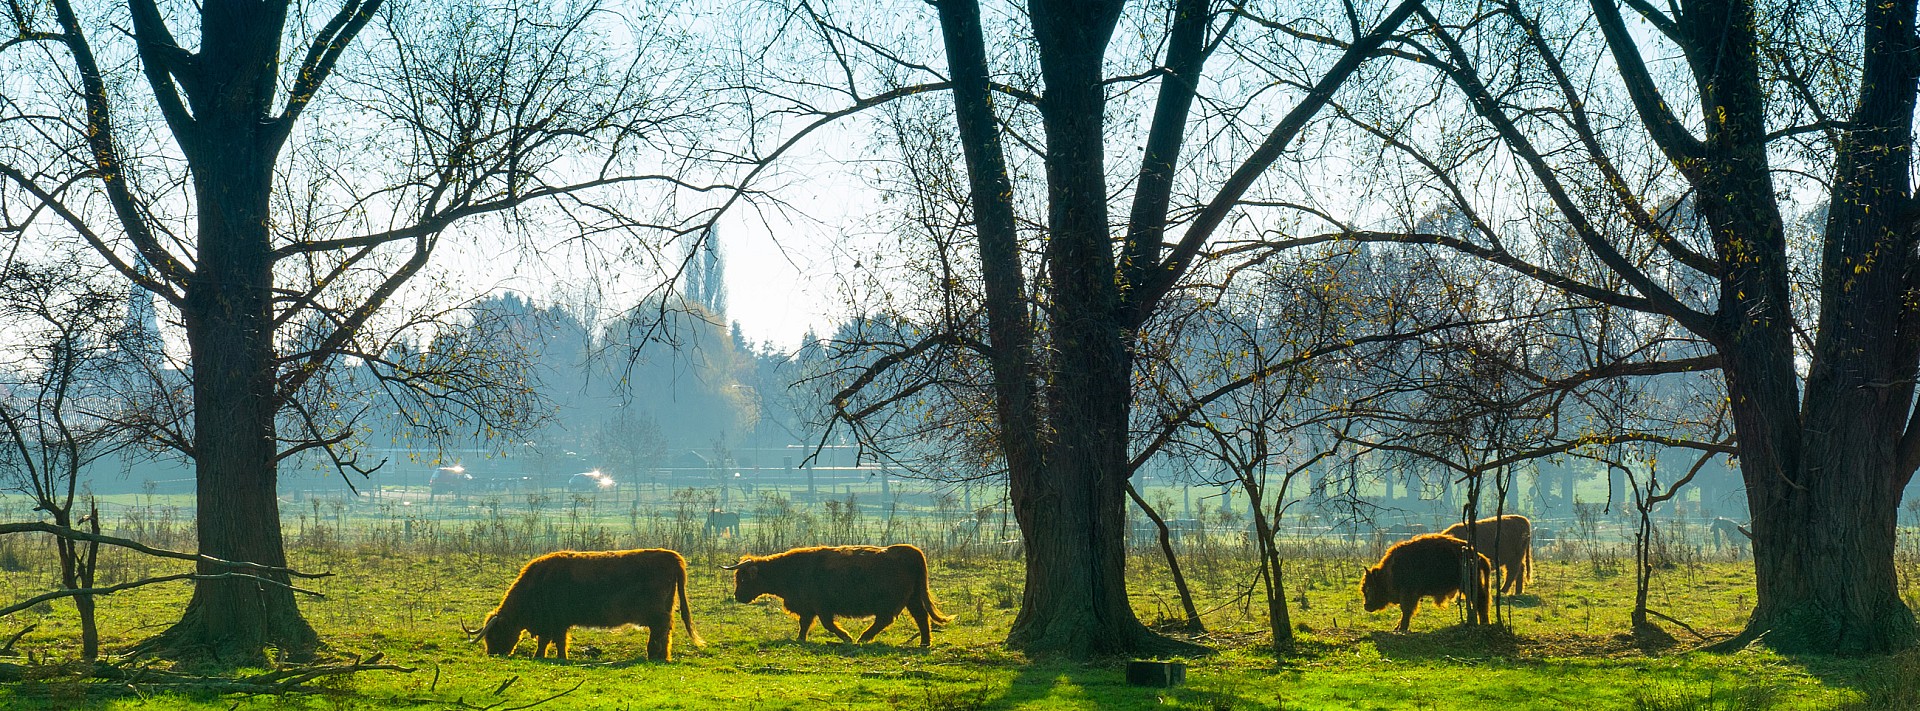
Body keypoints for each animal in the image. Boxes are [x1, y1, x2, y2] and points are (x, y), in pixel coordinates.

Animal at [466, 549, 702, 661]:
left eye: (494, 634)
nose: (493, 654)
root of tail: (671, 556)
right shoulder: (557, 622)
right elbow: (555, 641)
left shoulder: (555, 621)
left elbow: (551, 640)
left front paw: (543, 656)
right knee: (664, 632)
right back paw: (660, 656)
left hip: (657, 613)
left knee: (660, 631)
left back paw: (654, 655)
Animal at [721, 545, 948, 645]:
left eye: (743, 579)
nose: (738, 596)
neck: (791, 569)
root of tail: (907, 551)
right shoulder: (809, 607)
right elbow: (805, 624)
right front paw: (800, 639)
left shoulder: (821, 607)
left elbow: (828, 624)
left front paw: (846, 637)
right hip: (913, 598)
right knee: (921, 617)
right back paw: (925, 643)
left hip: (892, 602)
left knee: (885, 619)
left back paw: (863, 637)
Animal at [1359, 534, 1489, 634]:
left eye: (1370, 588)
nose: (1366, 606)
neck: (1390, 572)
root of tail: (1477, 555)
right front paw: (1397, 628)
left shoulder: (1408, 594)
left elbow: (1406, 610)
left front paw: (1402, 628)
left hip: (1470, 585)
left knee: (1481, 600)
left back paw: (1485, 622)